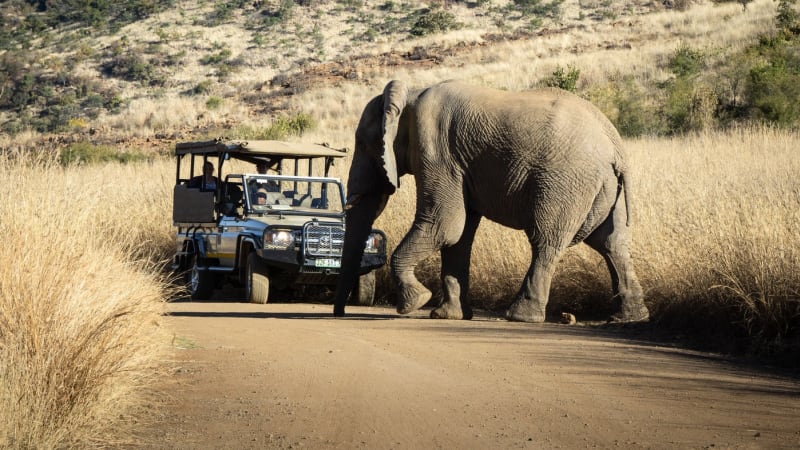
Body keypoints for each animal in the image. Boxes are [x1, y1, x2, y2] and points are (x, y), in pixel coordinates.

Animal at [332, 78, 648, 324]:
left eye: (364, 144)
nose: (340, 314)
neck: (411, 93)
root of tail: (615, 147)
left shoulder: (435, 149)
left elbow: (444, 225)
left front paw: (415, 302)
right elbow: (459, 236)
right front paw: (448, 315)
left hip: (565, 184)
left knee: (546, 241)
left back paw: (520, 316)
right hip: (602, 189)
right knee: (612, 244)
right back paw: (629, 317)